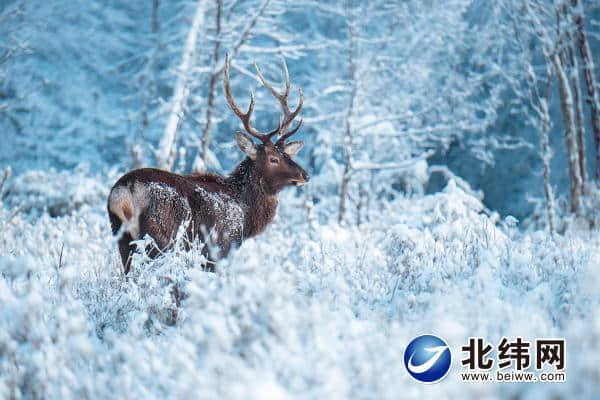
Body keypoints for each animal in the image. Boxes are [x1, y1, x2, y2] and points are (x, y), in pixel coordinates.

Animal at [106, 54, 310, 274]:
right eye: (273, 159)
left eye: (287, 155)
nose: (305, 175)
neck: (247, 214)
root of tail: (125, 191)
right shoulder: (220, 246)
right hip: (160, 236)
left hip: (122, 236)